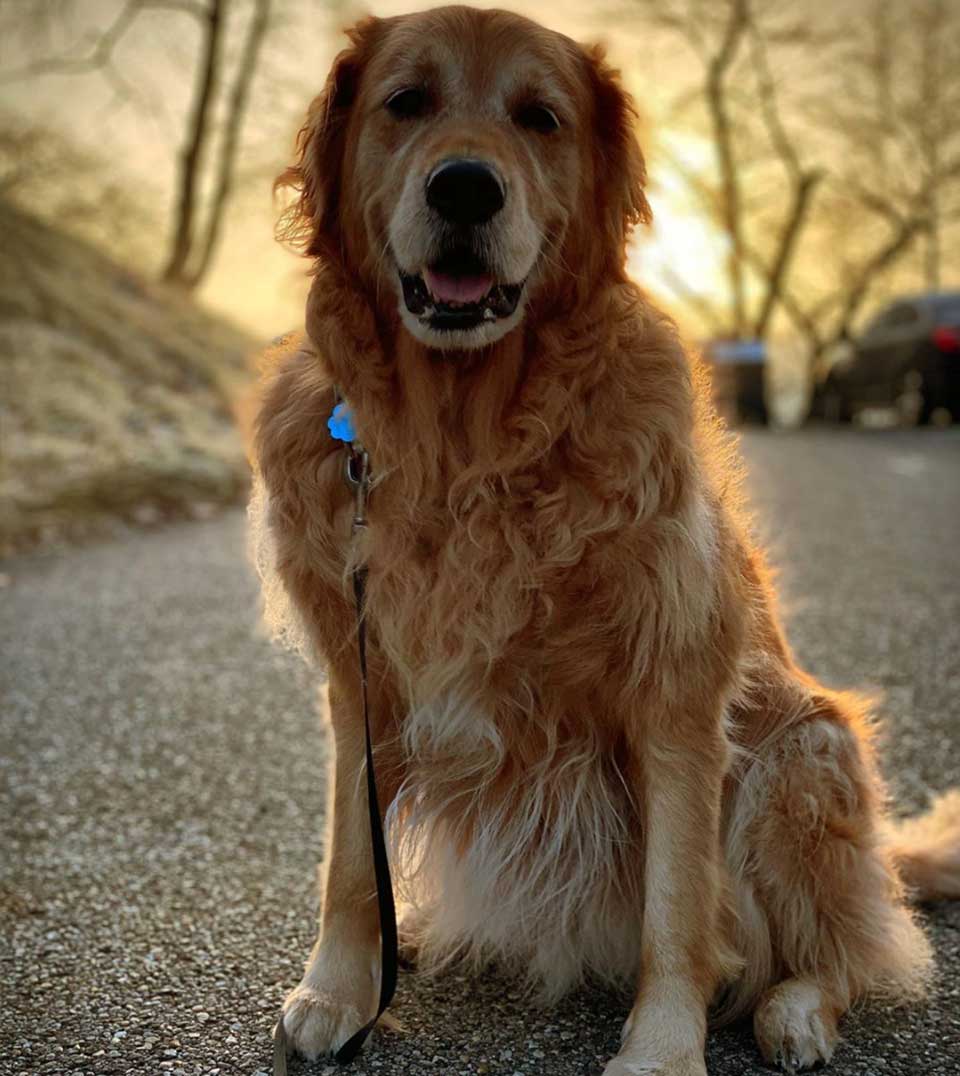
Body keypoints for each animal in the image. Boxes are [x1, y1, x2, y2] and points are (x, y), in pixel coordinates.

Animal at [249, 4, 959, 1071]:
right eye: (406, 101)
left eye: (540, 118)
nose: (466, 186)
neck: (466, 442)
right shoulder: (360, 680)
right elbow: (349, 864)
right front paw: (341, 984)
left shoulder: (677, 695)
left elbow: (678, 909)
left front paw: (662, 1049)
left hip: (802, 757)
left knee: (845, 947)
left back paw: (795, 1009)